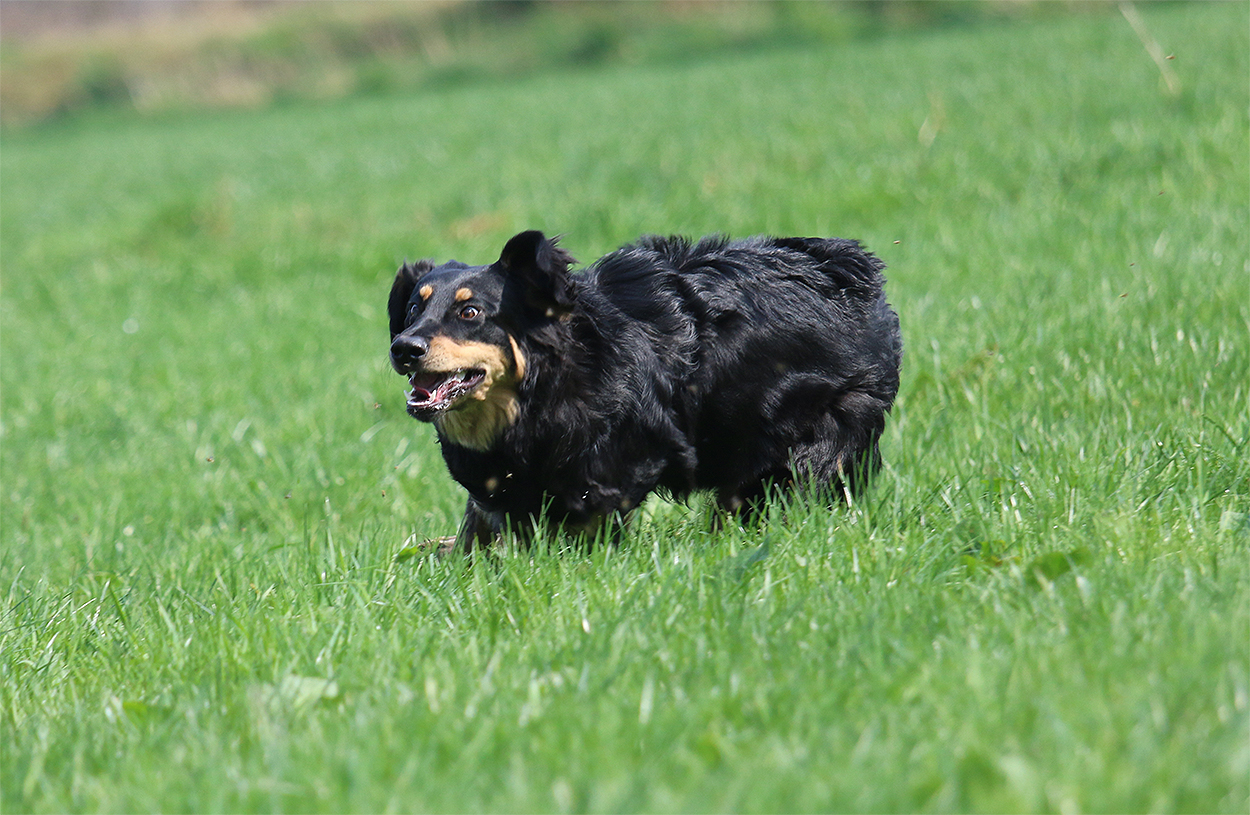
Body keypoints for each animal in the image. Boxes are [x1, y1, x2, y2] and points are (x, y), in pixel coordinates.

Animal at [388, 230, 901, 551]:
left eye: (470, 312)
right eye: (413, 308)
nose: (404, 348)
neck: (543, 391)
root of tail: (852, 268)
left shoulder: (617, 464)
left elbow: (582, 520)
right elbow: (483, 523)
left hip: (821, 429)